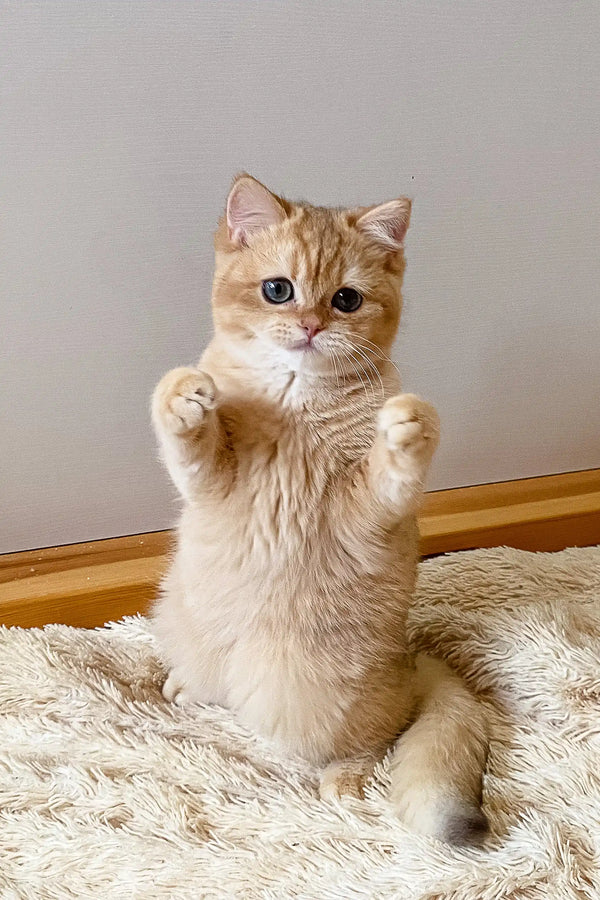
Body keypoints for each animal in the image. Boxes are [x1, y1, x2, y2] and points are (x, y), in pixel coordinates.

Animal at [150, 174, 488, 844]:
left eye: (347, 300)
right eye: (277, 290)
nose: (308, 325)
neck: (292, 402)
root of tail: (408, 663)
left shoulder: (368, 508)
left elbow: (394, 462)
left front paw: (406, 426)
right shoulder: (211, 482)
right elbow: (188, 436)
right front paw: (184, 397)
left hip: (309, 698)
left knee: (378, 735)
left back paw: (343, 779)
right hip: (187, 628)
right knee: (214, 685)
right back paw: (185, 685)